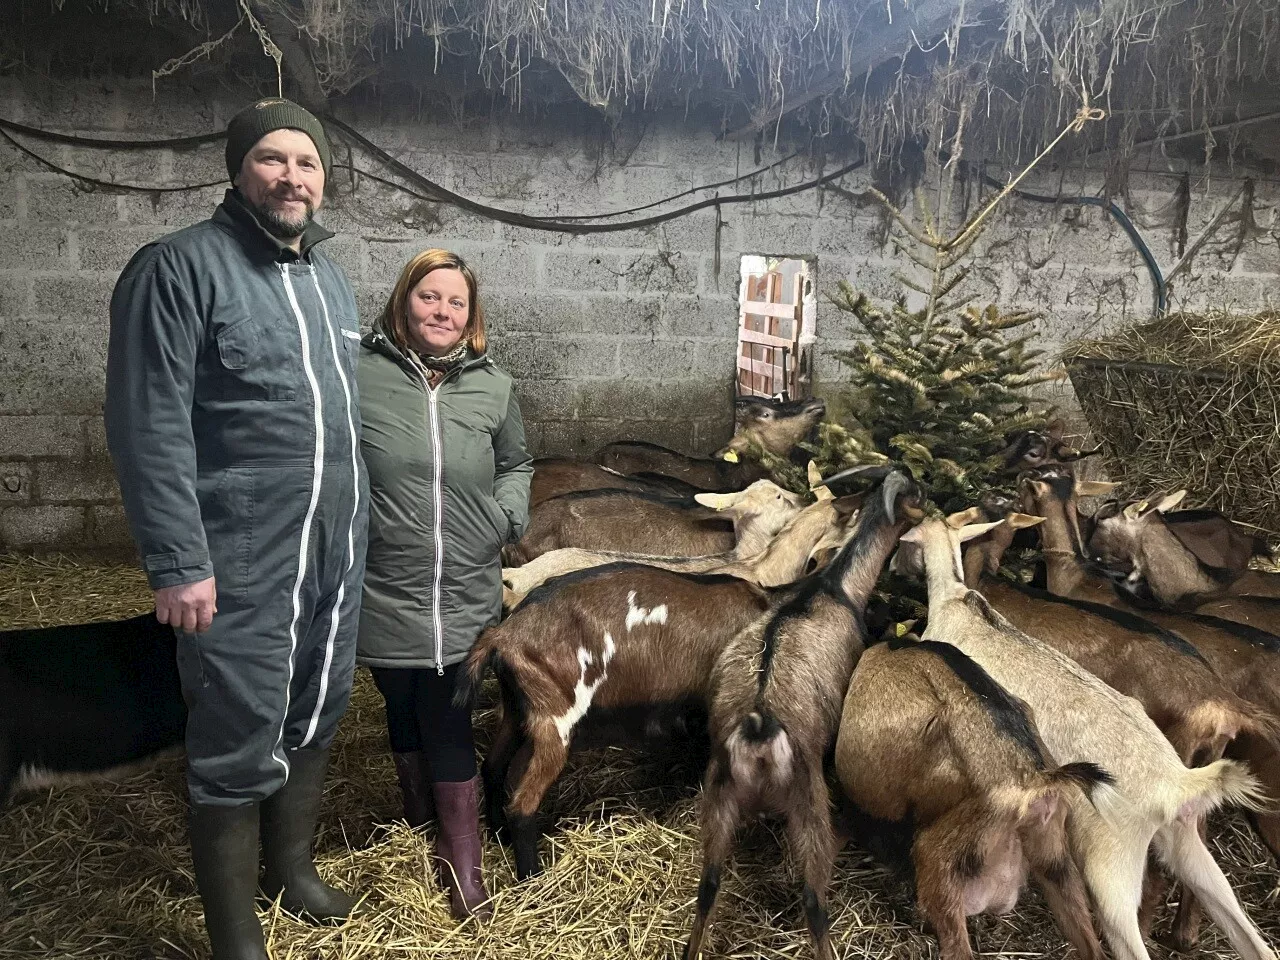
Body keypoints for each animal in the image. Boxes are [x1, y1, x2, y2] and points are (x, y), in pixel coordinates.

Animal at [686, 471, 926, 960]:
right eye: (915, 494)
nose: (931, 503)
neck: (834, 586)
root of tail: (758, 728)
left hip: (718, 793)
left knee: (707, 888)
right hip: (808, 796)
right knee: (814, 902)